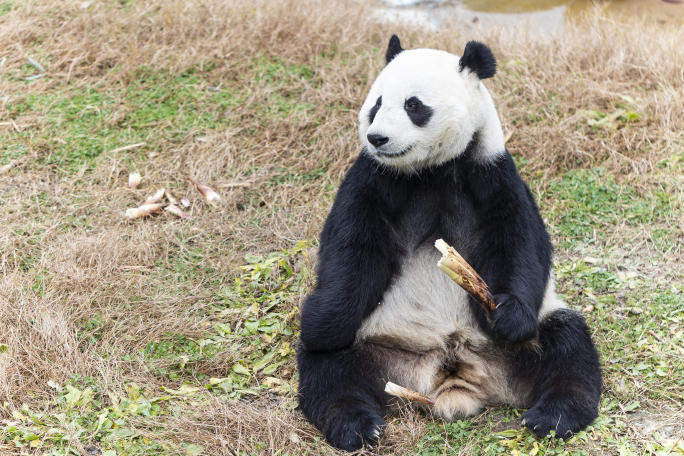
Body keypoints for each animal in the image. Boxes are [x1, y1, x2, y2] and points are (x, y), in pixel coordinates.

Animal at [296, 35, 600, 452]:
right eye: (376, 104)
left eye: (413, 105)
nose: (377, 138)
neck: (431, 170)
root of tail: (452, 378)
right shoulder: (374, 177)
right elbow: (351, 245)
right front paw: (321, 323)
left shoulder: (491, 174)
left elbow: (519, 244)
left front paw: (506, 314)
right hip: (376, 341)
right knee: (330, 369)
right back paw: (357, 425)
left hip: (530, 337)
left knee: (567, 345)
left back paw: (552, 416)